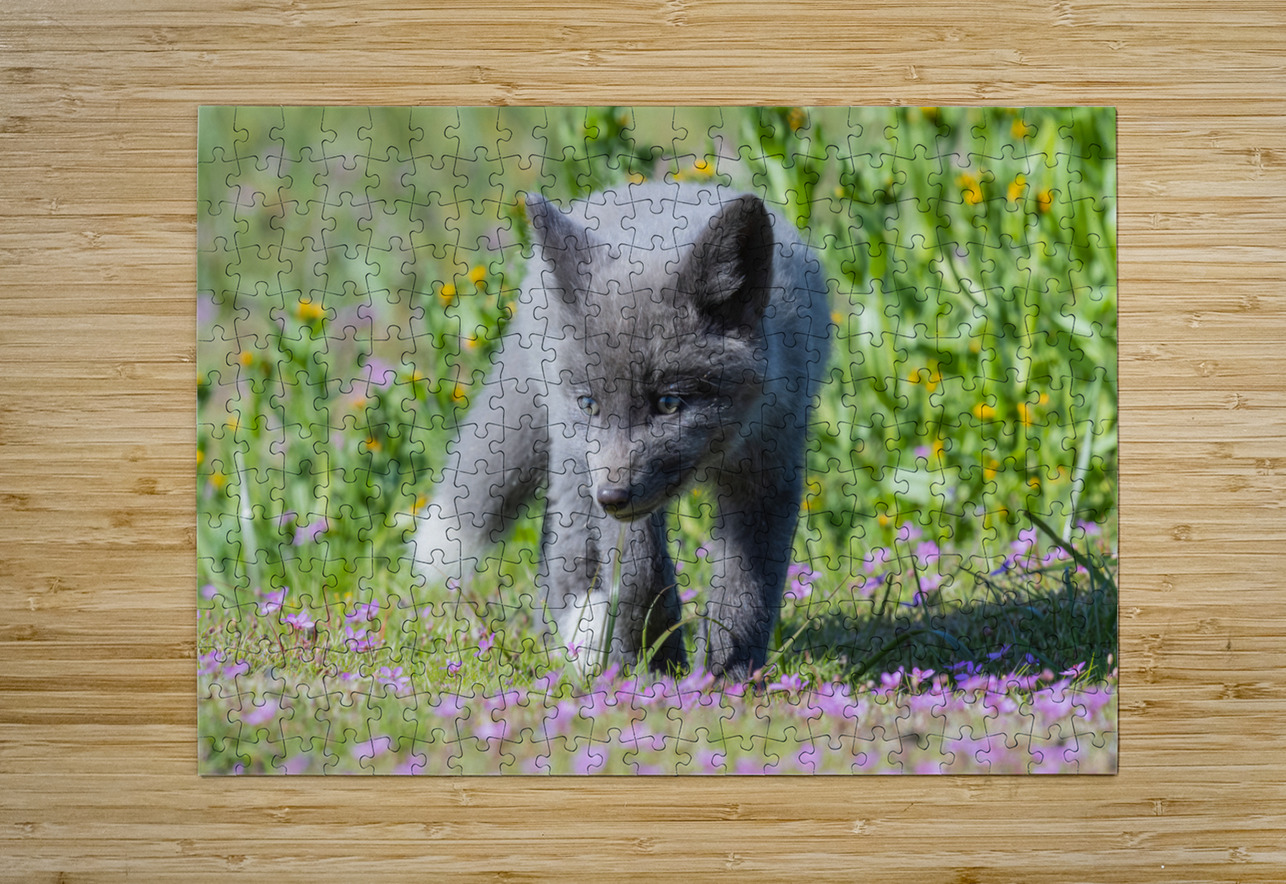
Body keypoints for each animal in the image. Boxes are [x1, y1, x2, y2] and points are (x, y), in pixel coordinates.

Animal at [412, 183, 831, 679]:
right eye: (590, 404)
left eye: (668, 403)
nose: (612, 498)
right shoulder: (608, 484)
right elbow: (641, 572)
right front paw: (653, 664)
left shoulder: (769, 472)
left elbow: (746, 589)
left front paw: (728, 676)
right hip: (573, 459)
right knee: (564, 546)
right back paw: (577, 640)